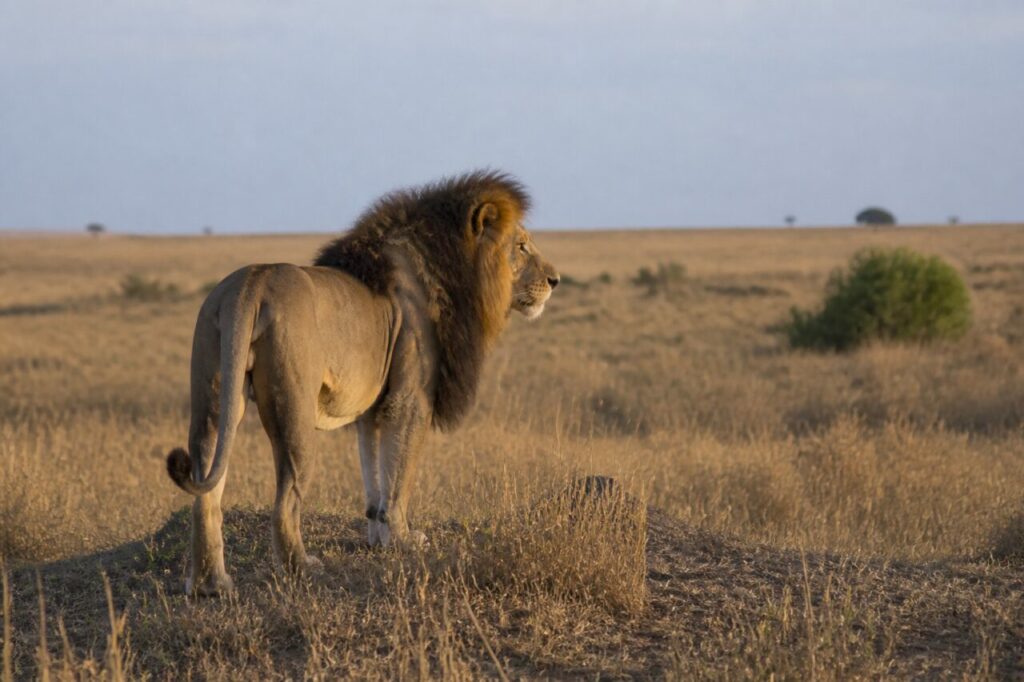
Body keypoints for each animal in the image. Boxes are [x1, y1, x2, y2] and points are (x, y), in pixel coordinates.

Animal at [165, 171, 559, 595]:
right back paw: (302, 568)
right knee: (285, 500)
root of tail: (251, 282)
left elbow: (375, 475)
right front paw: (403, 540)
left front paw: (378, 536)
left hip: (213, 392)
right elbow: (399, 476)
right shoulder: (409, 400)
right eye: (521, 246)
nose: (555, 279)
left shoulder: (372, 409)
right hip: (294, 410)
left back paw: (209, 584)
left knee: (206, 493)